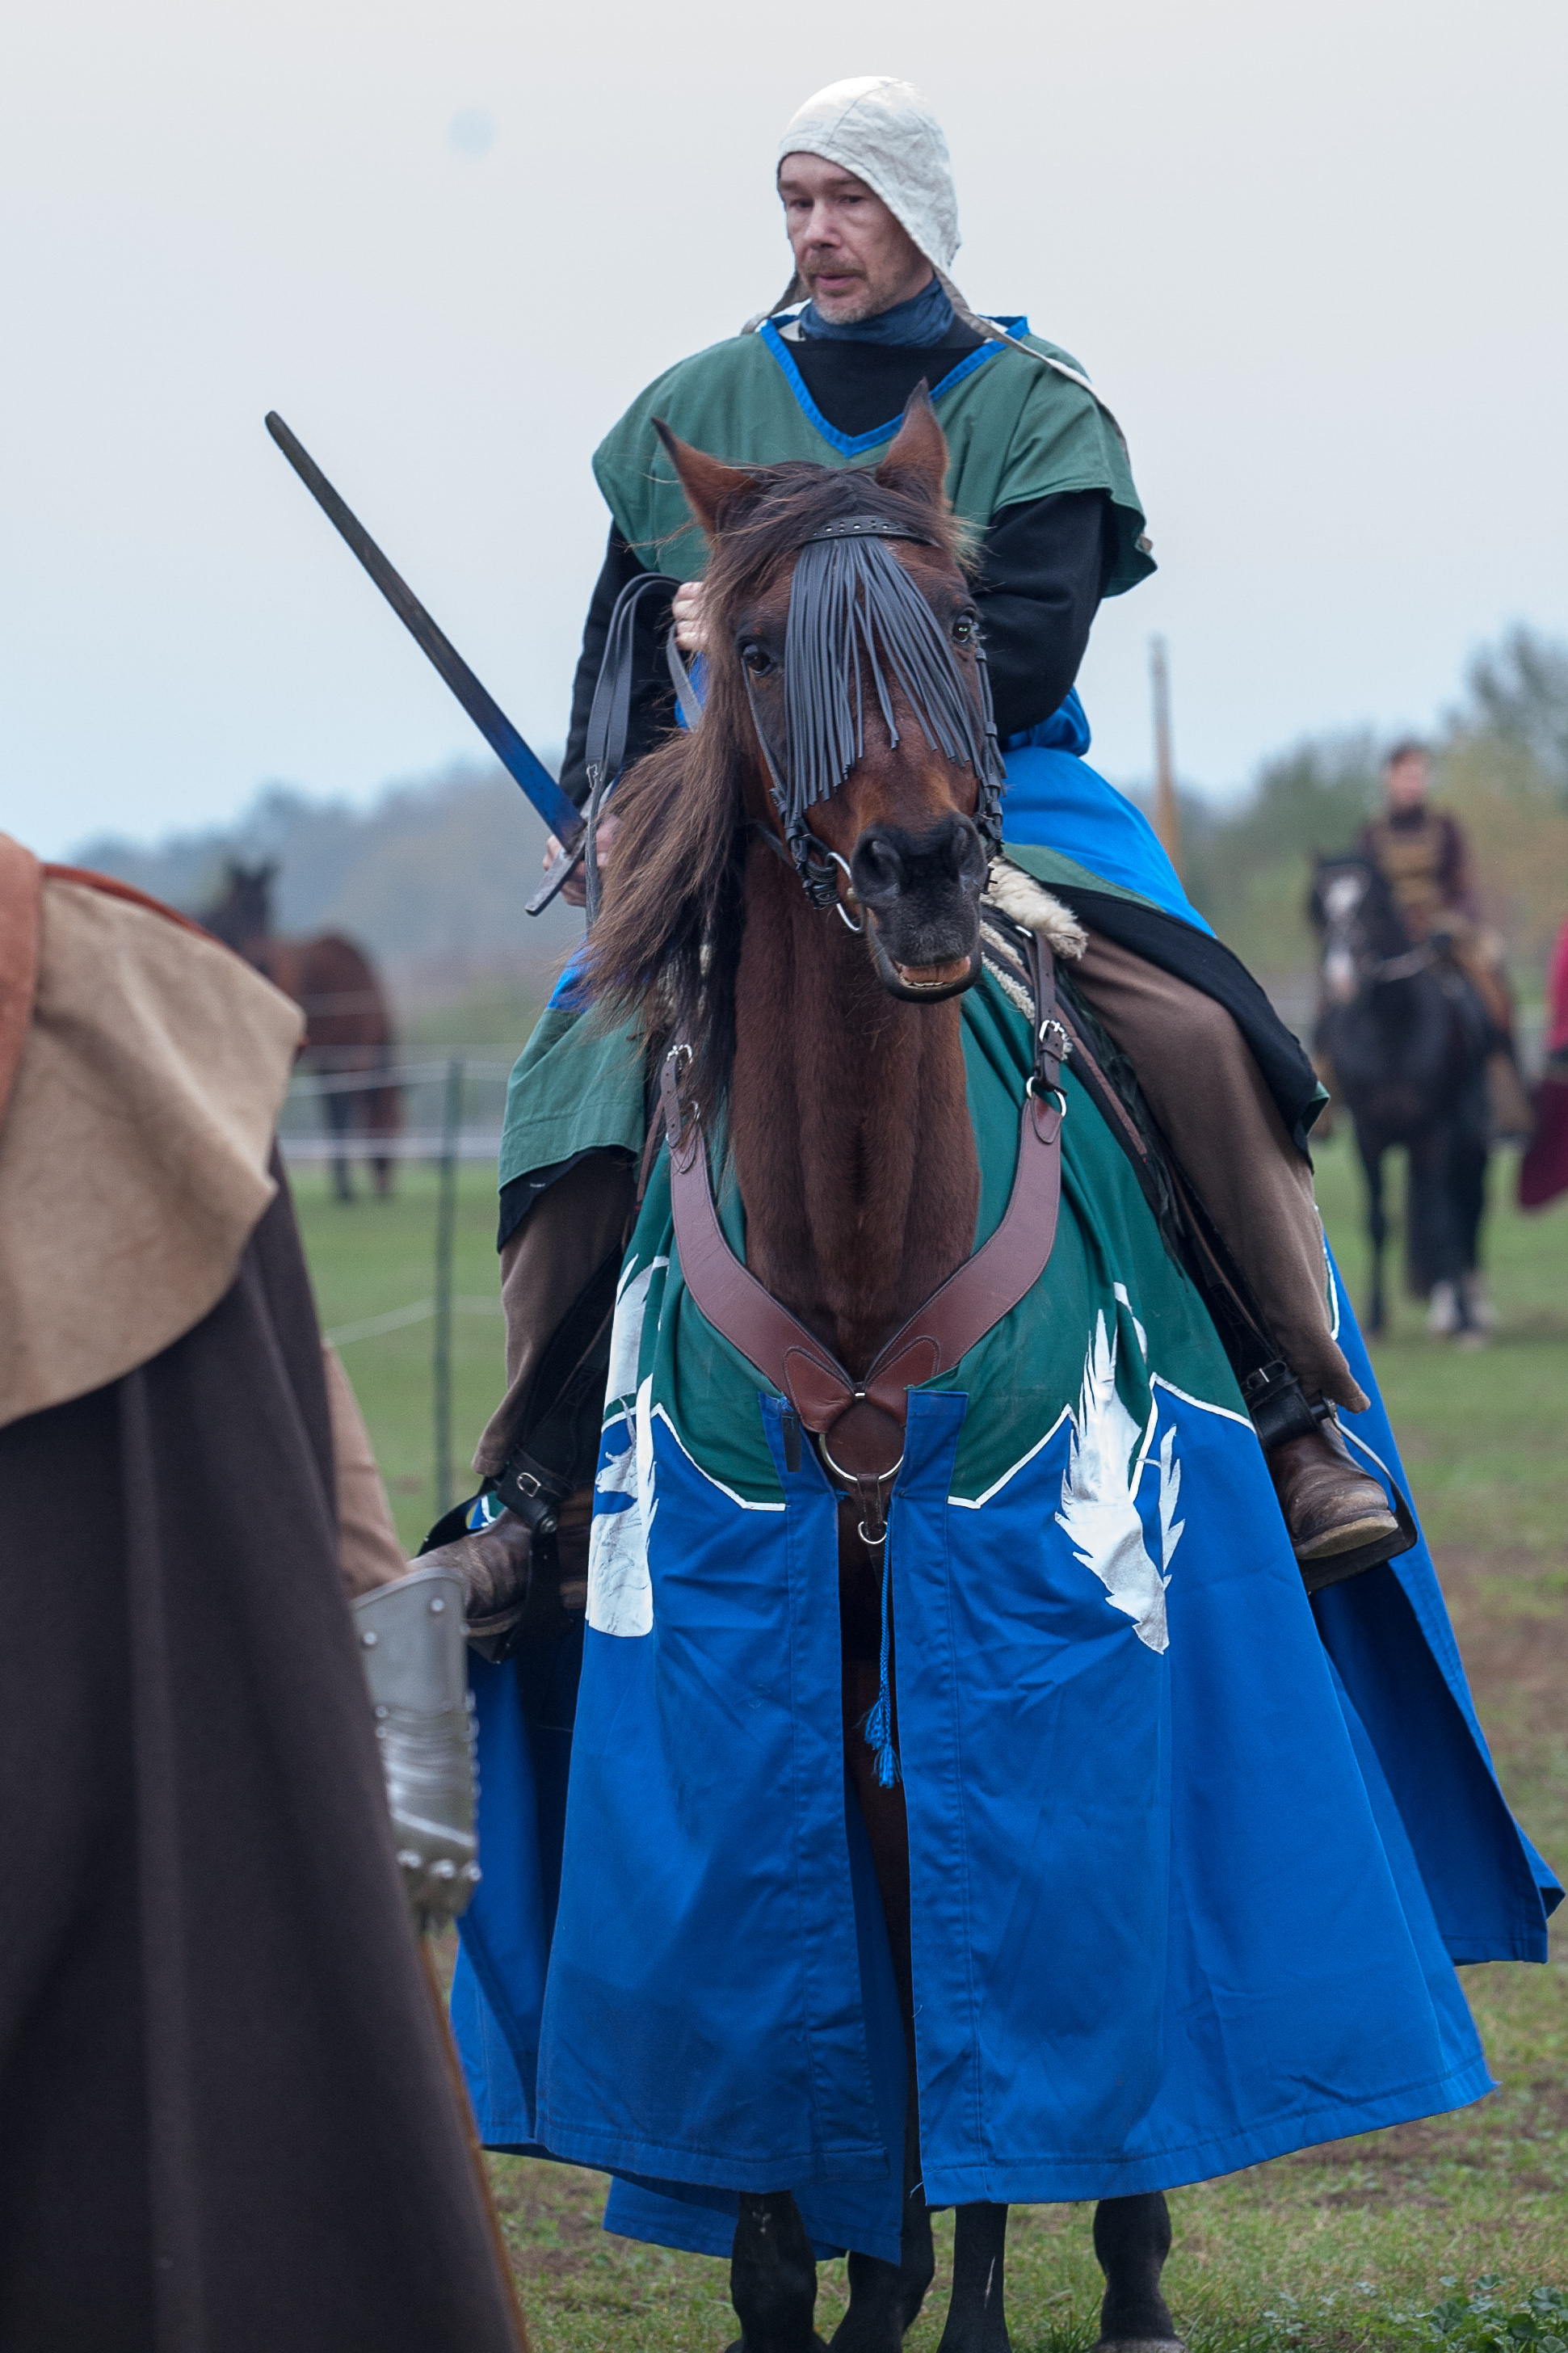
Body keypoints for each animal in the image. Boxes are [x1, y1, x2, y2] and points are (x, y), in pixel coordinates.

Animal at [202, 862, 401, 1200]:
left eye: (270, 908)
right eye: (394, 1120)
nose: (386, 1184)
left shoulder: (328, 1060)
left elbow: (333, 1113)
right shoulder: (346, 1054)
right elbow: (339, 1115)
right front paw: (345, 1189)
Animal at [1309, 855, 1491, 1338]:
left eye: (1370, 907)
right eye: (1322, 909)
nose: (1339, 977)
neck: (1390, 1029)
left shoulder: (1438, 1131)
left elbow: (1446, 1218)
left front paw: (1464, 1320)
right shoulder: (1368, 1135)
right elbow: (1377, 1221)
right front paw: (1375, 1316)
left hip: (1466, 1140)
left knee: (1466, 1206)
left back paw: (1470, 1308)